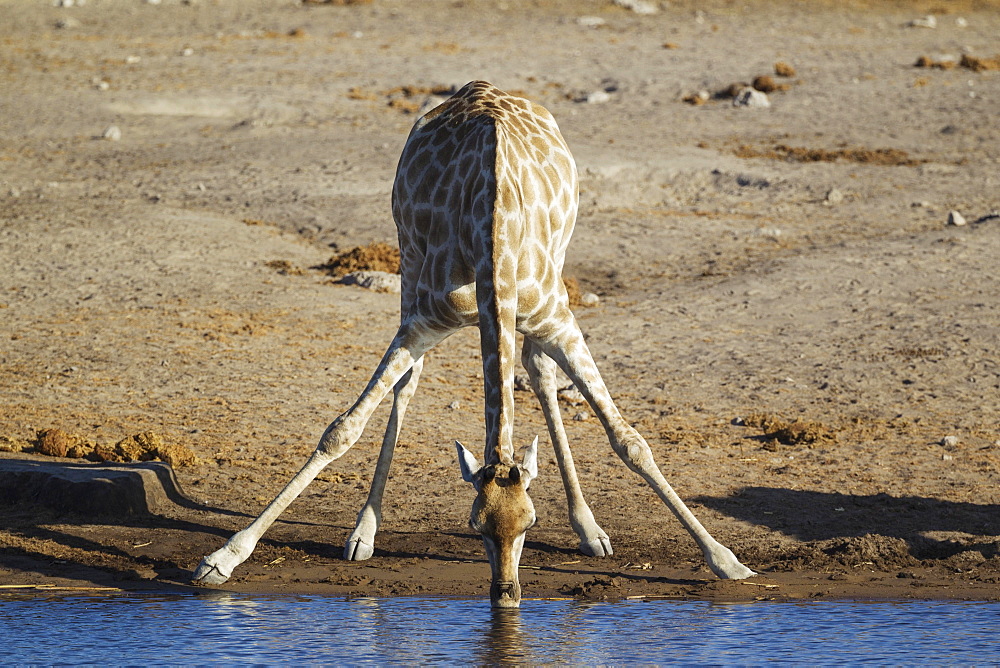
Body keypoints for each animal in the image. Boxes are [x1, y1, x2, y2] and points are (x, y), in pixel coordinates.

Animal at [193, 81, 752, 608]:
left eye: (530, 523)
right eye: (475, 526)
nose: (506, 593)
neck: (495, 240)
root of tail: (480, 87)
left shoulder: (560, 320)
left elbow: (630, 441)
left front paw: (726, 560)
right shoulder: (424, 321)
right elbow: (342, 430)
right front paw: (224, 557)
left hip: (558, 263)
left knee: (538, 369)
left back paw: (589, 529)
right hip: (407, 261)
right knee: (409, 383)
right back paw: (363, 532)